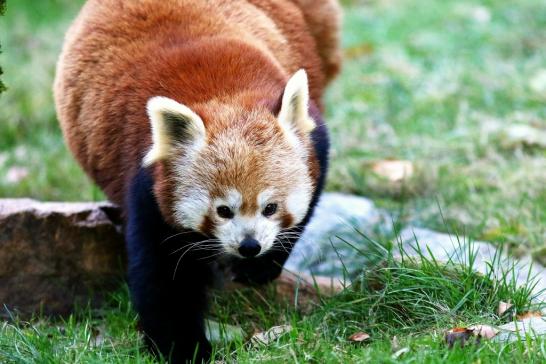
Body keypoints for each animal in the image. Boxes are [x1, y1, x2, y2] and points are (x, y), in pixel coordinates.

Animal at [53, 0, 338, 362]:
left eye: (271, 207)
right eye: (223, 211)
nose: (249, 246)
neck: (224, 92)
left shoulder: (314, 145)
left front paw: (260, 267)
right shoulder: (148, 184)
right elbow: (164, 277)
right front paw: (182, 348)